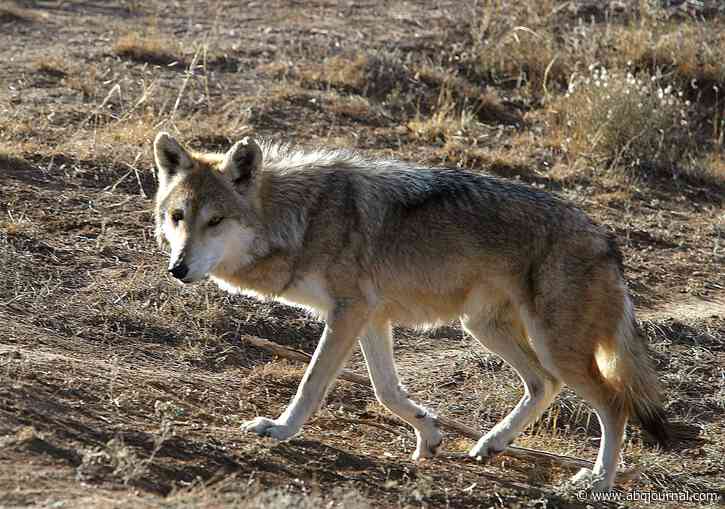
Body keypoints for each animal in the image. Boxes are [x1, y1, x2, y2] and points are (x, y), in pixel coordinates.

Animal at [152, 132, 670, 490]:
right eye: (178, 218)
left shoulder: (349, 313)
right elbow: (386, 392)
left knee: (615, 403)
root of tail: (605, 238)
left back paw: (598, 480)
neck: (302, 220)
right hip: (485, 329)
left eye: (215, 221)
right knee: (545, 386)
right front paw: (428, 435)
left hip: (549, 343)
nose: (178, 268)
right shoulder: (369, 318)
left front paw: (279, 429)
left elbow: (311, 383)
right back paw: (491, 444)